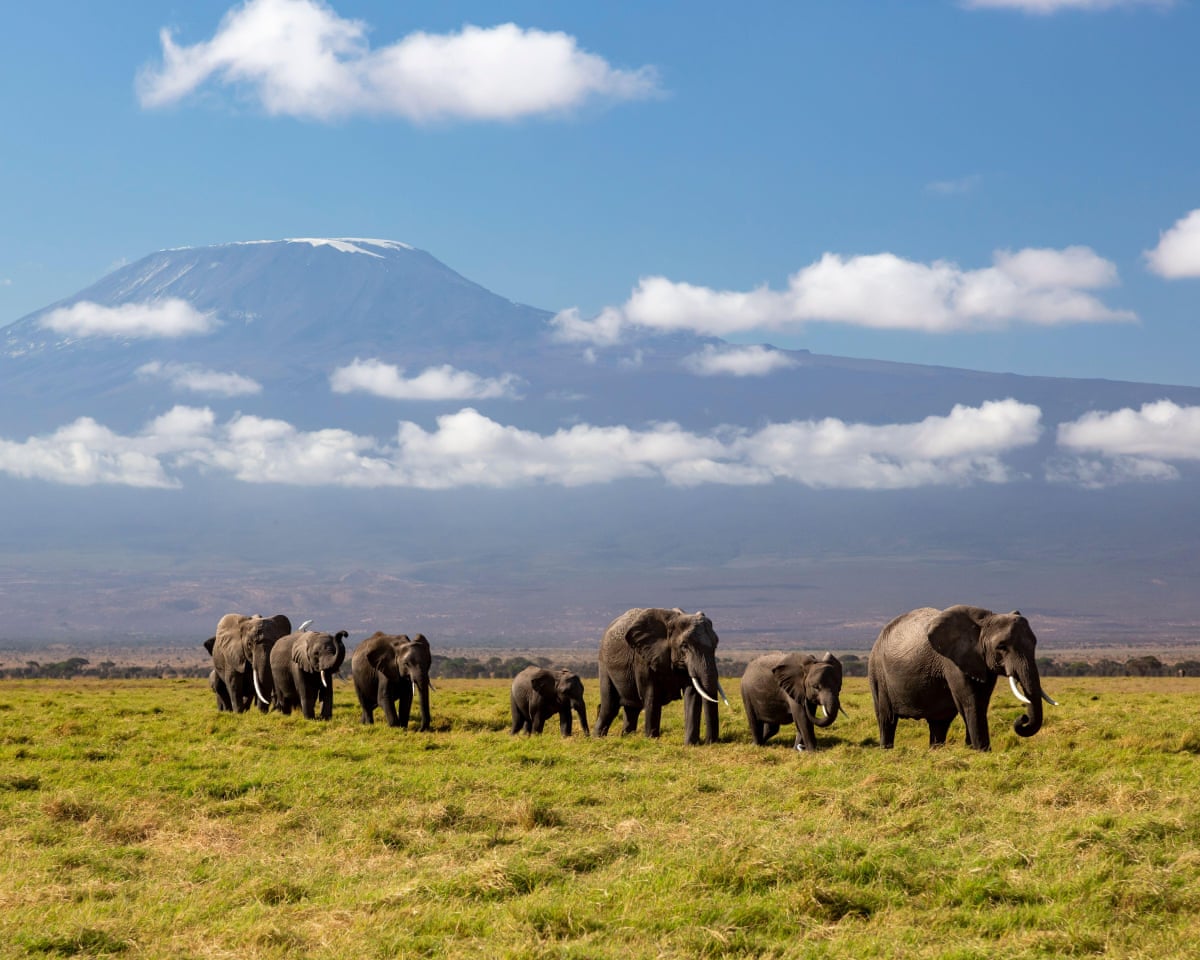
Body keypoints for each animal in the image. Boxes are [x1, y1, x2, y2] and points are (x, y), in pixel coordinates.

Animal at [593, 607, 725, 745]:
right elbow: (652, 696)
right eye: (684, 646)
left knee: (632, 709)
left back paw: (627, 737)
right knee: (610, 707)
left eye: (716, 645)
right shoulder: (643, 658)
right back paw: (597, 738)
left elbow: (692, 694)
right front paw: (652, 741)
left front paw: (691, 745)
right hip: (604, 664)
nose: (710, 742)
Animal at [867, 605, 1058, 751]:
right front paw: (981, 751)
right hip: (877, 672)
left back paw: (935, 752)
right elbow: (970, 702)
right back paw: (886, 750)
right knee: (887, 719)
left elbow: (981, 703)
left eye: (1035, 643)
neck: (984, 622)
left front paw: (972, 750)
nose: (1022, 719)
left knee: (939, 724)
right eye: (1002, 646)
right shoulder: (952, 661)